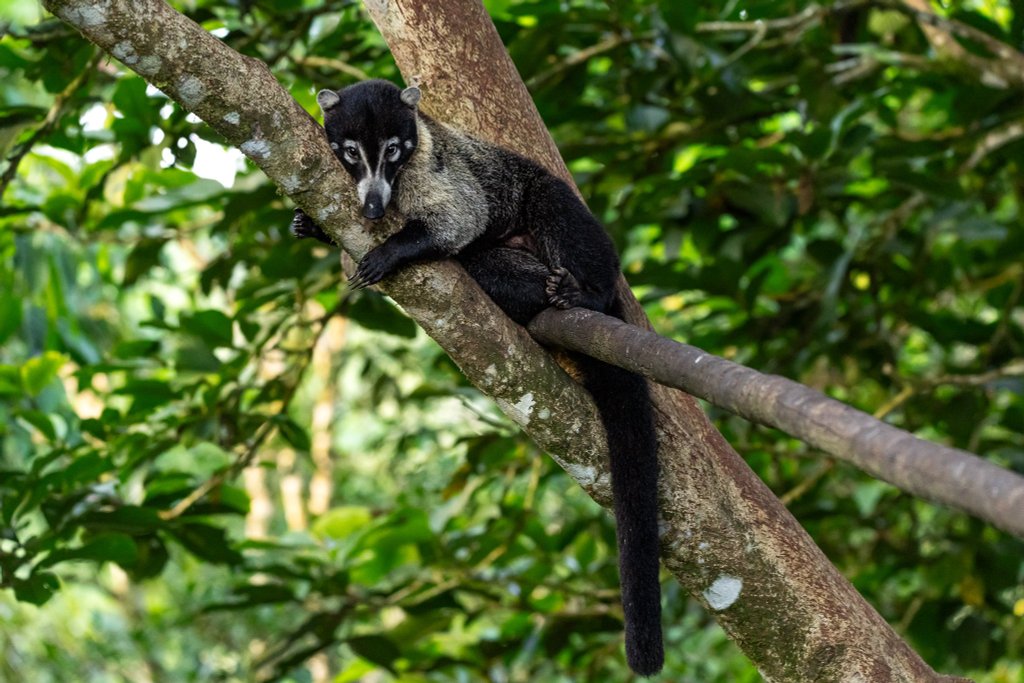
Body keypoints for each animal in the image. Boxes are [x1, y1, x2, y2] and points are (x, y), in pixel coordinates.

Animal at [291, 80, 663, 676]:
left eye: (394, 150)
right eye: (349, 153)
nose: (372, 207)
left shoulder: (434, 168)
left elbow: (459, 219)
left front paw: (389, 251)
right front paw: (309, 226)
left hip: (556, 216)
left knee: (559, 219)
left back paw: (582, 293)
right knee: (482, 266)